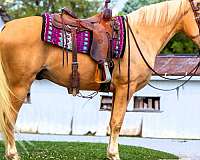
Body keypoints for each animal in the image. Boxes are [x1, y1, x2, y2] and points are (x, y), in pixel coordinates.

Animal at [0, 0, 200, 159]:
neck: (140, 35)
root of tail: (6, 28)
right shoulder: (125, 88)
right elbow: (117, 123)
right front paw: (114, 155)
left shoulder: (117, 91)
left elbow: (112, 123)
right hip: (19, 85)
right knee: (9, 119)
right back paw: (13, 155)